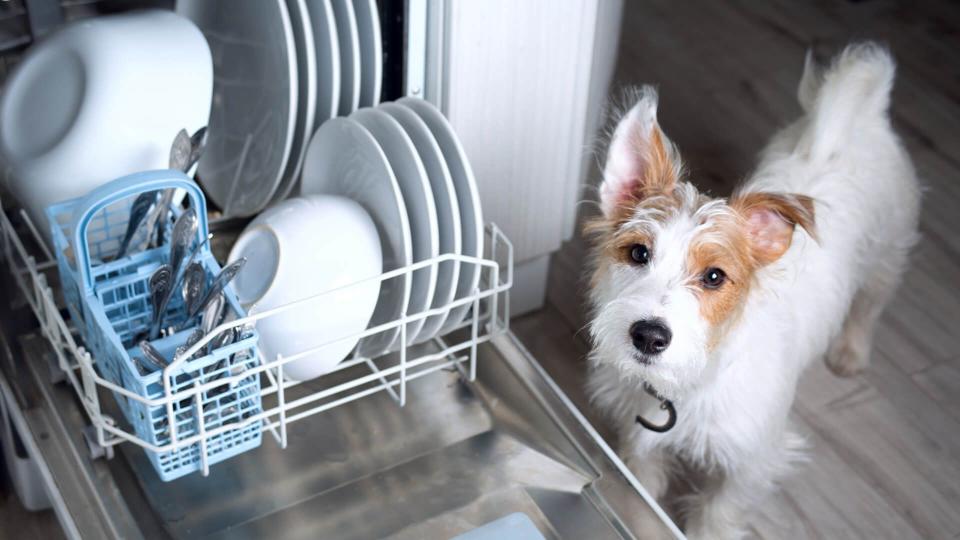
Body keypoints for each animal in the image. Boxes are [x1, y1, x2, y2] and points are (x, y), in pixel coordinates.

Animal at [580, 43, 920, 540]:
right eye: (638, 253)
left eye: (714, 277)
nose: (648, 336)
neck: (690, 381)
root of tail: (860, 116)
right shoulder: (639, 436)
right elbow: (642, 484)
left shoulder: (752, 460)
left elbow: (718, 513)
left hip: (887, 256)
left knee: (870, 306)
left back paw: (851, 352)